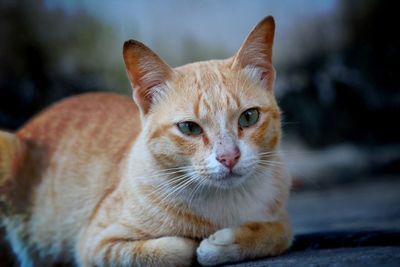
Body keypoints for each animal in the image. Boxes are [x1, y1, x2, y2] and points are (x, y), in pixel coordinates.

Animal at [0, 15, 294, 266]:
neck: (225, 202)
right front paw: (199, 242)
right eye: (189, 128)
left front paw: (226, 242)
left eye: (248, 117)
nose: (229, 157)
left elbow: (279, 234)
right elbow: (172, 249)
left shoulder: (281, 219)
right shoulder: (96, 243)